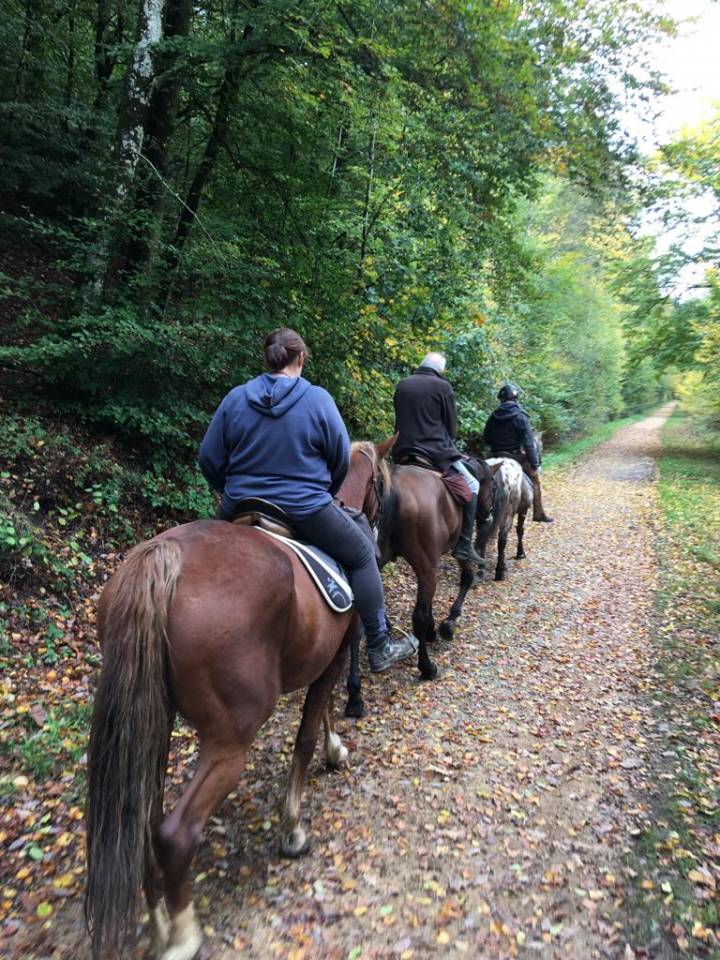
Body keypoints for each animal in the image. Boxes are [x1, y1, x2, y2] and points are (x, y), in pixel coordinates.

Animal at [84, 439, 393, 960]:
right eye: (383, 483)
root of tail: (163, 557)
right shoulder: (334, 656)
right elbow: (307, 734)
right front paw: (293, 827)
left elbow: (322, 714)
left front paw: (336, 751)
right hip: (230, 739)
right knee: (175, 834)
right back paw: (183, 935)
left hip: (150, 722)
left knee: (142, 823)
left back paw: (159, 924)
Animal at [344, 458, 499, 717]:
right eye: (494, 487)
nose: (488, 515)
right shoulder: (451, 552)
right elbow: (466, 578)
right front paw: (448, 624)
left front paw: (432, 629)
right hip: (425, 564)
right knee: (417, 616)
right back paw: (426, 668)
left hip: (369, 561)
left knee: (357, 625)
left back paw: (355, 696)